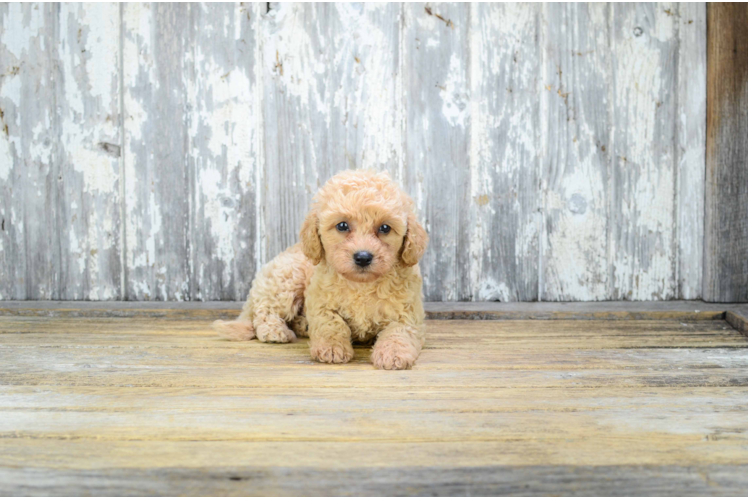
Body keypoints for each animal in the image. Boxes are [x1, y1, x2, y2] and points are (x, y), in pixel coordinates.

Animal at [213, 170, 430, 370]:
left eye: (385, 228)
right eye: (342, 225)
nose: (362, 257)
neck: (361, 284)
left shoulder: (408, 313)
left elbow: (398, 331)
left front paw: (393, 353)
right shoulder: (320, 302)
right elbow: (331, 324)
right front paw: (332, 348)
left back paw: (302, 325)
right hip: (287, 280)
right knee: (264, 311)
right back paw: (275, 331)